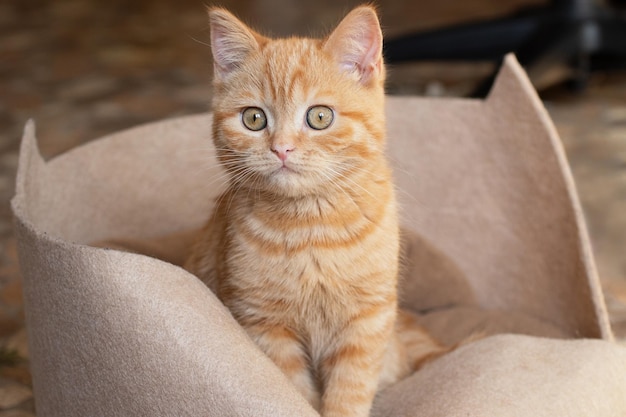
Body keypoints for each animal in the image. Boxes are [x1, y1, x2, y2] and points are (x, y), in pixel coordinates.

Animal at [185, 6, 448, 416]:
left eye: (320, 117)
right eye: (254, 119)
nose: (282, 148)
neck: (311, 227)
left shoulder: (367, 321)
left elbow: (350, 389)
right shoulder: (264, 325)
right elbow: (294, 390)